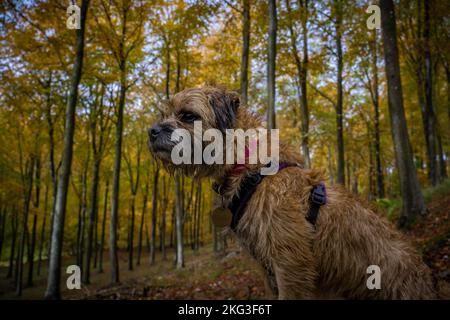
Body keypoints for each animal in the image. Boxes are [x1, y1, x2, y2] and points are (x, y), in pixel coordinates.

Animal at [148, 85, 436, 300]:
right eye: (165, 114)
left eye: (188, 116)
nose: (151, 131)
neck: (249, 166)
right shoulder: (267, 268)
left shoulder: (290, 263)